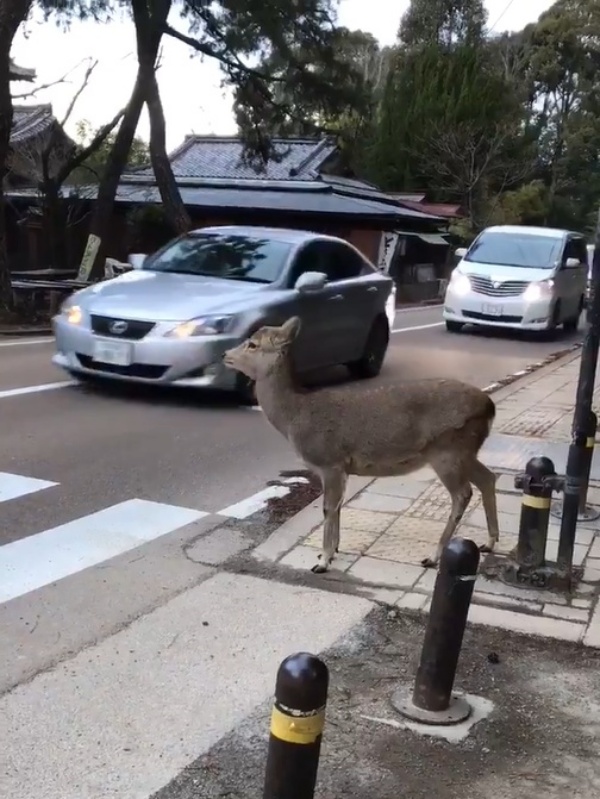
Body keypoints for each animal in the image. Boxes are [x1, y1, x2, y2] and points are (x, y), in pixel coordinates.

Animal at [223, 318, 500, 576]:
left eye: (252, 344)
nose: (225, 355)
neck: (294, 418)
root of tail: (490, 407)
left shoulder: (329, 460)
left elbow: (328, 508)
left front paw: (323, 561)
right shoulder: (341, 468)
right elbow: (337, 506)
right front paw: (332, 551)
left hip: (447, 449)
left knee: (463, 493)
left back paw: (433, 556)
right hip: (465, 451)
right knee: (488, 477)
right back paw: (489, 542)